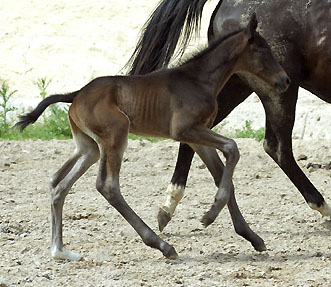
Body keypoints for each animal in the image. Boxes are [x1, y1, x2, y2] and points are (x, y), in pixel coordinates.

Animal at [16, 14, 290, 262]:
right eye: (264, 50)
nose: (285, 80)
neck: (198, 79)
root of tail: (76, 94)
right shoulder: (184, 130)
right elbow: (233, 147)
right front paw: (208, 216)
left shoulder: (197, 136)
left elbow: (224, 176)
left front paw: (252, 237)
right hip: (116, 135)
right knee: (107, 186)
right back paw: (162, 246)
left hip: (90, 147)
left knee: (58, 183)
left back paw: (60, 251)